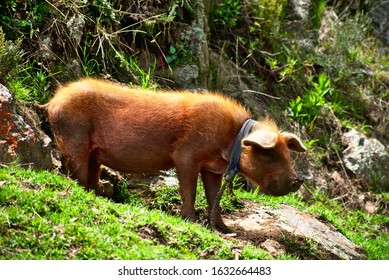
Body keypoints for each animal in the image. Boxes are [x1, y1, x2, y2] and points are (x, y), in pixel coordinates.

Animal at [45, 77, 306, 229]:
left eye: (287, 153)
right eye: (270, 154)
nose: (298, 181)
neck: (232, 139)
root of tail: (53, 101)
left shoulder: (213, 169)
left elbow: (213, 196)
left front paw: (223, 229)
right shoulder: (186, 155)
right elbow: (189, 190)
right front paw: (190, 221)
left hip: (93, 154)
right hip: (74, 138)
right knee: (75, 172)